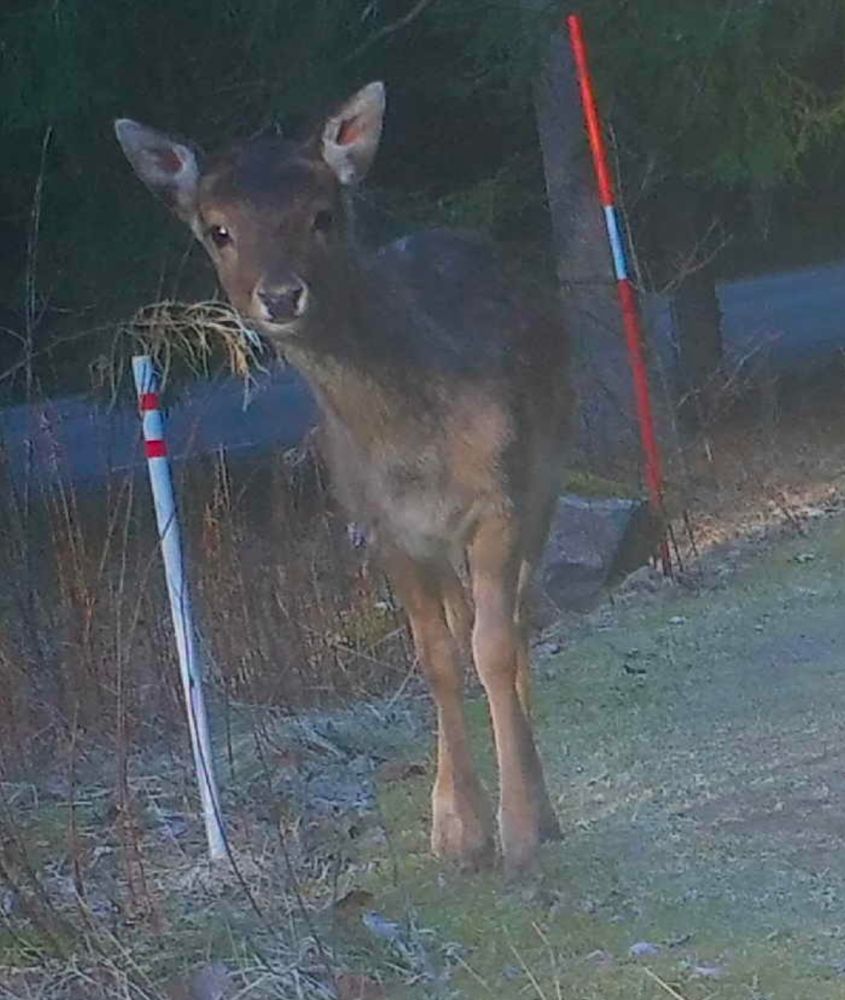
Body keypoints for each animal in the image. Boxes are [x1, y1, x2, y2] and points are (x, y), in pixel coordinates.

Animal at [115, 81, 571, 875]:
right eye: (218, 229)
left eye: (320, 215)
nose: (279, 295)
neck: (410, 443)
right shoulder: (385, 527)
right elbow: (436, 658)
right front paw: (456, 831)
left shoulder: (501, 499)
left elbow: (493, 647)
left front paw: (517, 829)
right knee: (465, 622)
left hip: (545, 475)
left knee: (514, 619)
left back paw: (540, 805)